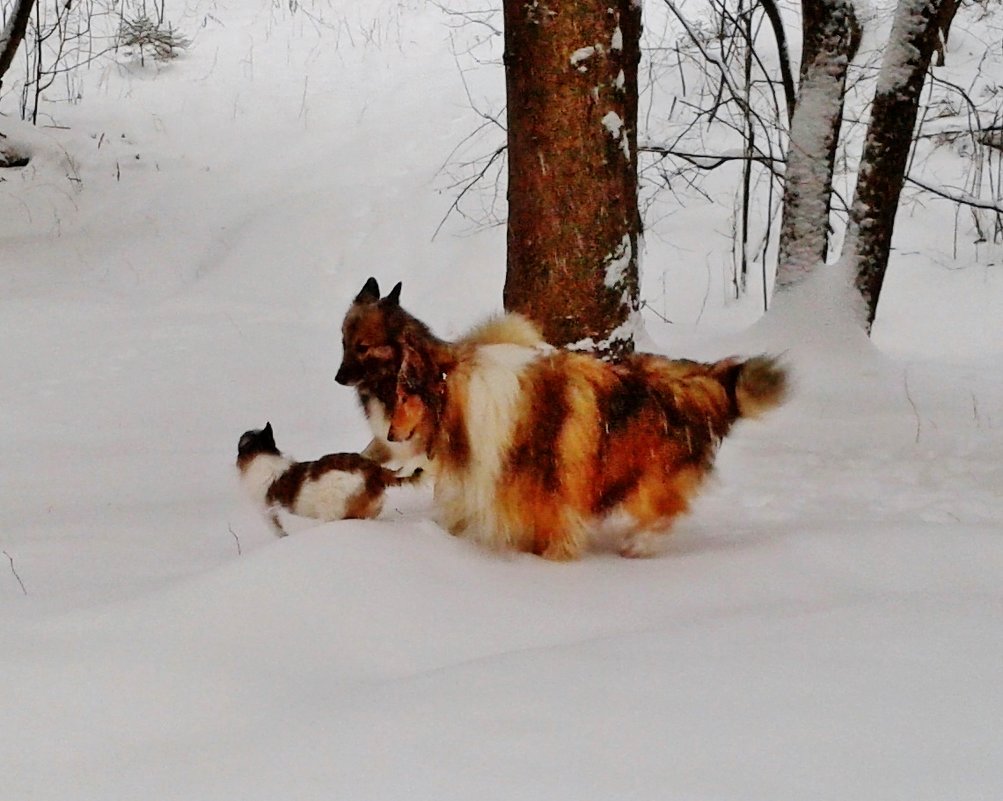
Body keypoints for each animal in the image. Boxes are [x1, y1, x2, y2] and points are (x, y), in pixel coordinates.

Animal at [387, 330, 786, 557]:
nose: (390, 434)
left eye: (404, 395)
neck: (465, 399)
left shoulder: (551, 498)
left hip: (653, 474)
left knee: (662, 510)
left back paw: (636, 546)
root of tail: (706, 378)